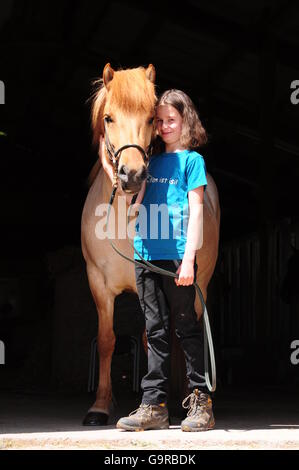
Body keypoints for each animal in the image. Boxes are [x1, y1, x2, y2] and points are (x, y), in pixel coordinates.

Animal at [81, 63, 221, 426]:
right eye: (108, 118)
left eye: (150, 118)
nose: (131, 175)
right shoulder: (98, 283)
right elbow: (108, 341)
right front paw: (100, 407)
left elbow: (154, 342)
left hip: (199, 285)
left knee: (190, 335)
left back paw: (191, 400)